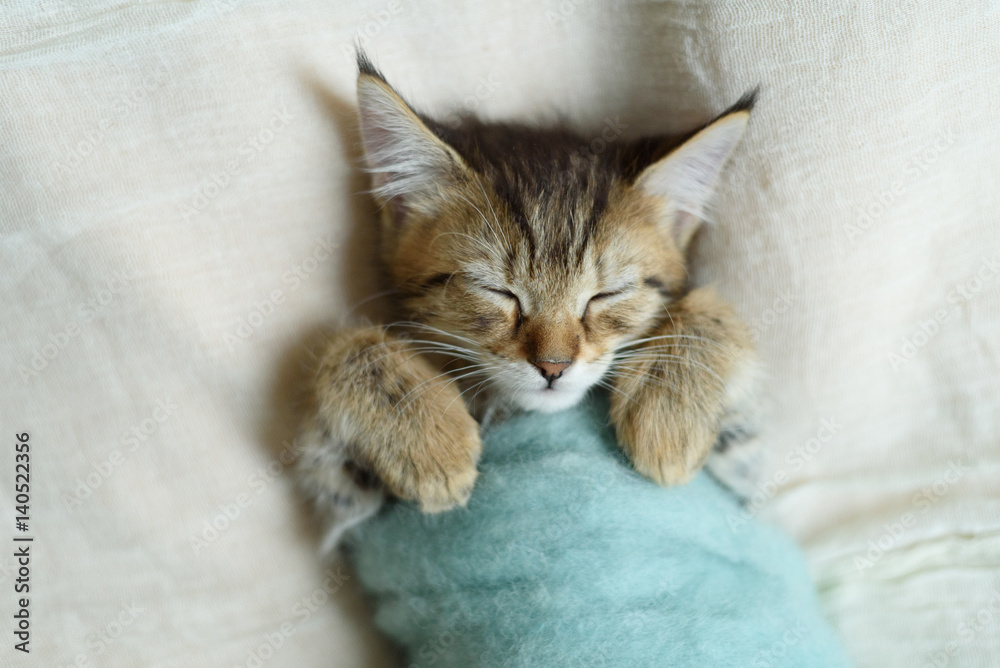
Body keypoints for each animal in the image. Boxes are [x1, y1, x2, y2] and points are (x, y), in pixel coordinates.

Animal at [292, 54, 760, 552]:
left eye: (606, 294)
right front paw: (431, 441)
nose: (554, 367)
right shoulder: (344, 505)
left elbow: (713, 310)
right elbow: (346, 345)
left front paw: (668, 417)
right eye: (498, 291)